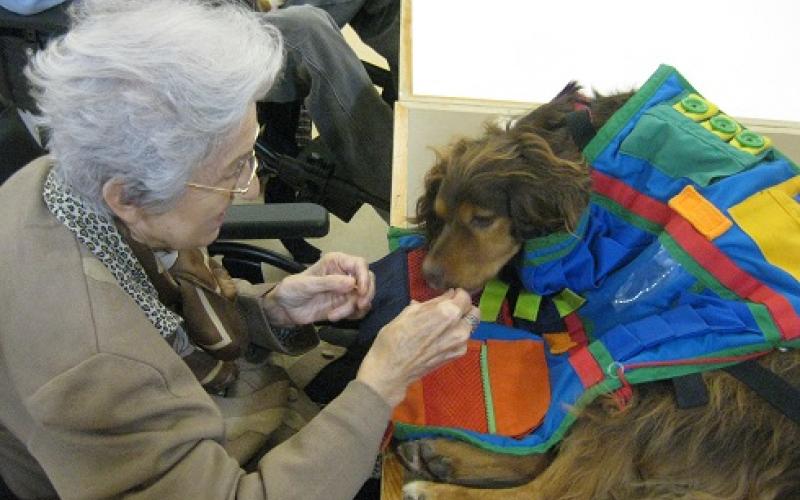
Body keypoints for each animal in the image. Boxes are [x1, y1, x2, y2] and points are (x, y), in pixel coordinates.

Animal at [396, 84, 800, 498]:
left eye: (482, 219)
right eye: (440, 214)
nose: (429, 275)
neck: (574, 140)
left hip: (657, 386)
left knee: (550, 486)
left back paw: (433, 485)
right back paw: (438, 457)